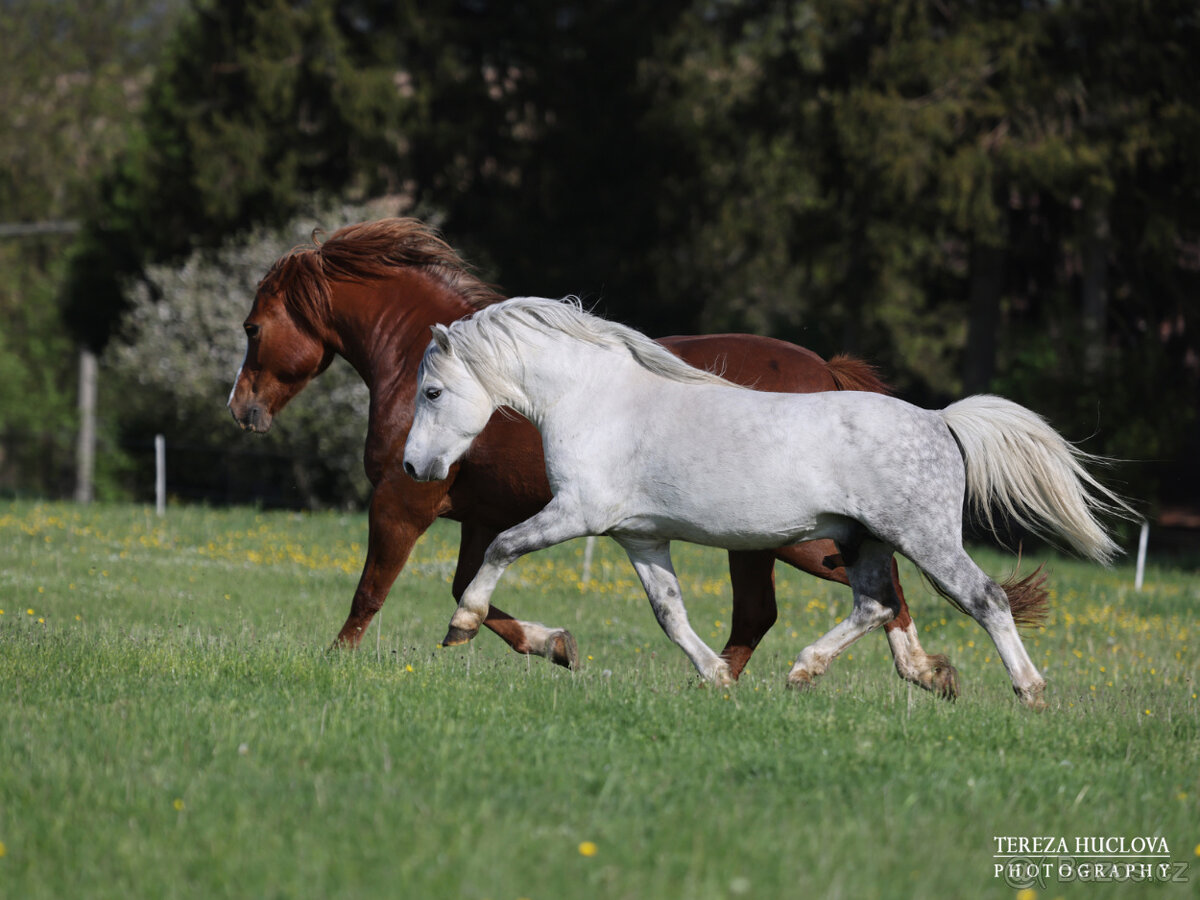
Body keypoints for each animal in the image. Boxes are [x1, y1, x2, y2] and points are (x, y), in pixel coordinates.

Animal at [228, 217, 958, 696]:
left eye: (252, 328)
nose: (242, 411)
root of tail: (828, 373)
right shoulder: (482, 517)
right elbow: (471, 588)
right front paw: (555, 645)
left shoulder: (404, 500)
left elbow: (373, 590)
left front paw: (336, 661)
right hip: (759, 540)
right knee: (790, 608)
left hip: (788, 537)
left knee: (876, 591)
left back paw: (911, 673)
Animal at [403, 296, 1135, 708]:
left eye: (432, 392)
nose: (413, 465)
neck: (597, 401)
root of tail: (939, 421)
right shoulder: (639, 535)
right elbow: (669, 612)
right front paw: (714, 678)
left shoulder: (577, 514)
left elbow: (499, 548)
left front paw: (462, 626)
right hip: (862, 540)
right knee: (877, 604)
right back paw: (806, 672)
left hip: (921, 539)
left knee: (983, 599)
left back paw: (1030, 692)